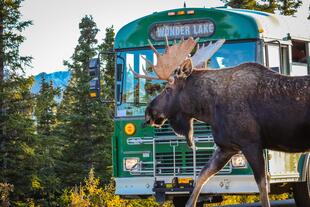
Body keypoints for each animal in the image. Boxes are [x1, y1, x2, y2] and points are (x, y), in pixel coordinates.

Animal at [129, 37, 310, 207]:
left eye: (167, 88)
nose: (148, 113)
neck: (209, 110)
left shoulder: (251, 143)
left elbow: (262, 185)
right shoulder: (227, 146)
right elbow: (202, 175)